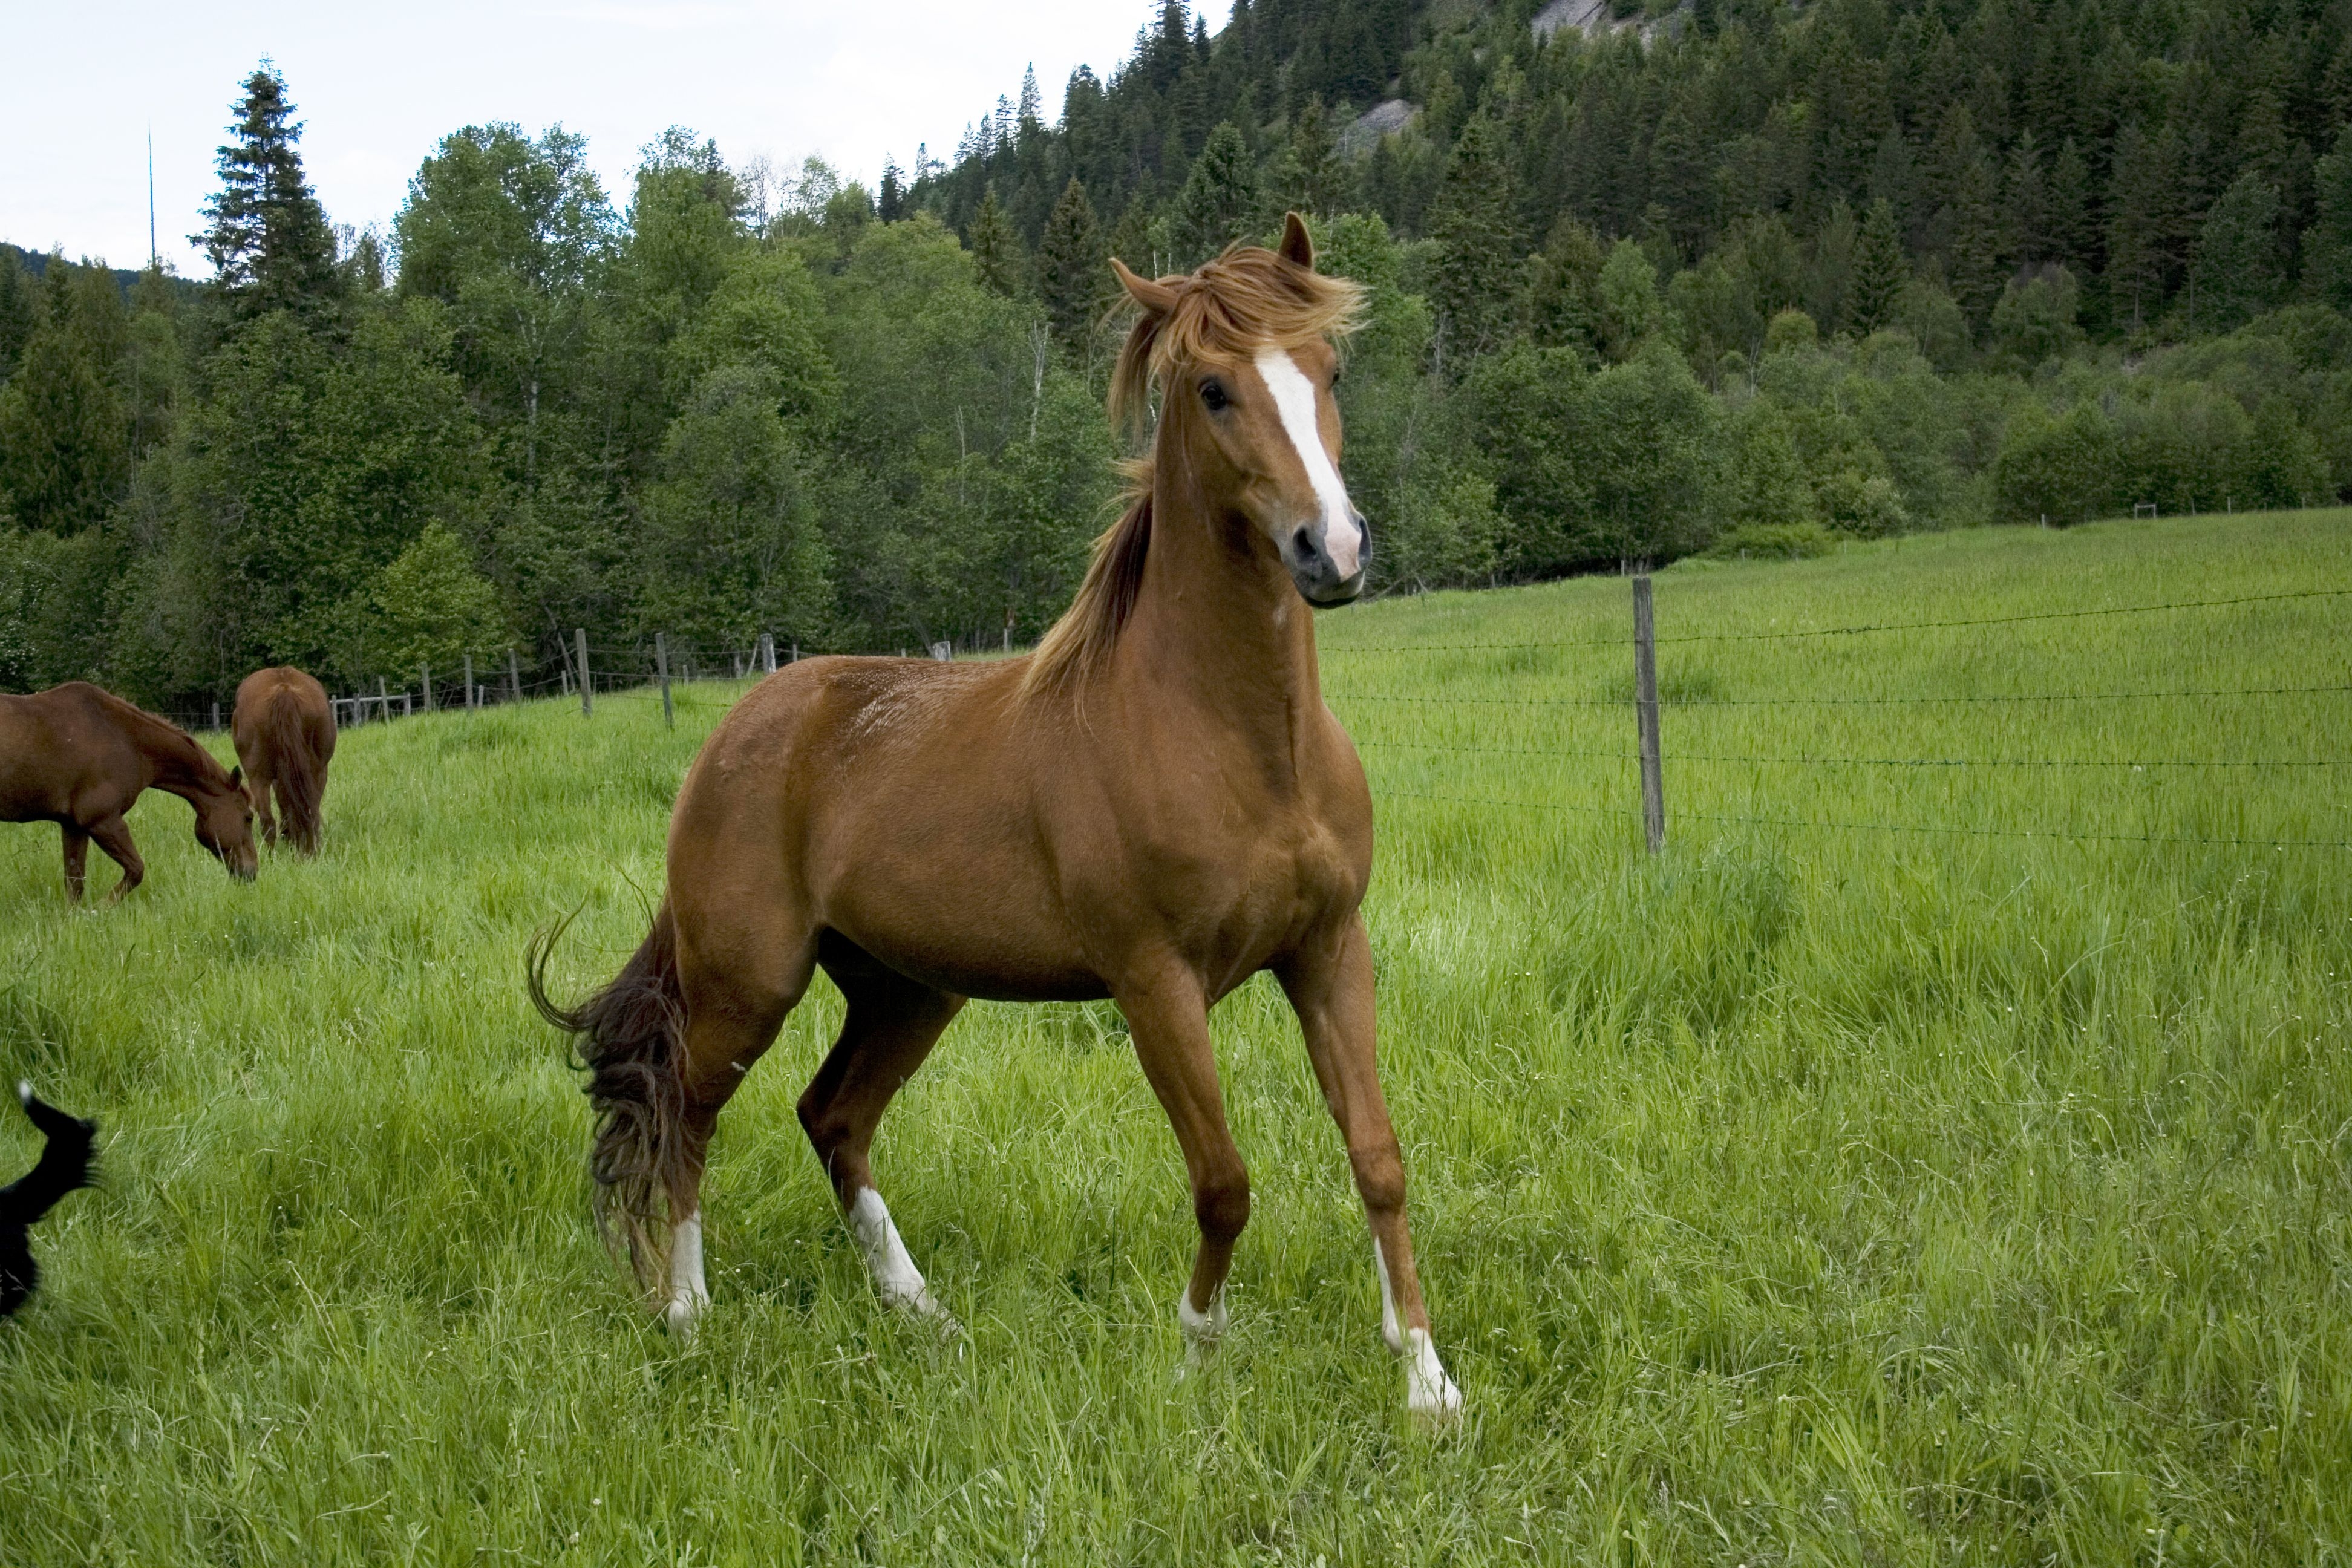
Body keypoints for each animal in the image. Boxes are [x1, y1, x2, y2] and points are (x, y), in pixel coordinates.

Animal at [0, 681, 258, 903]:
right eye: (248, 817)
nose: (252, 872)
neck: (125, 739)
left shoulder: (74, 826)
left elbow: (75, 884)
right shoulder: (104, 822)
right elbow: (136, 870)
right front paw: (101, 908)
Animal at [231, 667, 338, 860]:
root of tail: (284, 688)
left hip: (258, 776)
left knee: (267, 819)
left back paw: (273, 857)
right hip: (315, 771)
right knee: (308, 812)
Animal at [534, 217, 1458, 1420]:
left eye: (1330, 370)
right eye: (1212, 388)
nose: (1331, 550)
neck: (1241, 748)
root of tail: (732, 734)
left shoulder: (1328, 952)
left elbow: (1379, 1159)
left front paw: (1427, 1380)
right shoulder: (1155, 984)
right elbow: (1223, 1181)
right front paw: (1195, 1350)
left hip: (906, 990)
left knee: (832, 1118)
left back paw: (923, 1316)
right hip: (748, 984)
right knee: (685, 1115)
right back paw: (688, 1316)